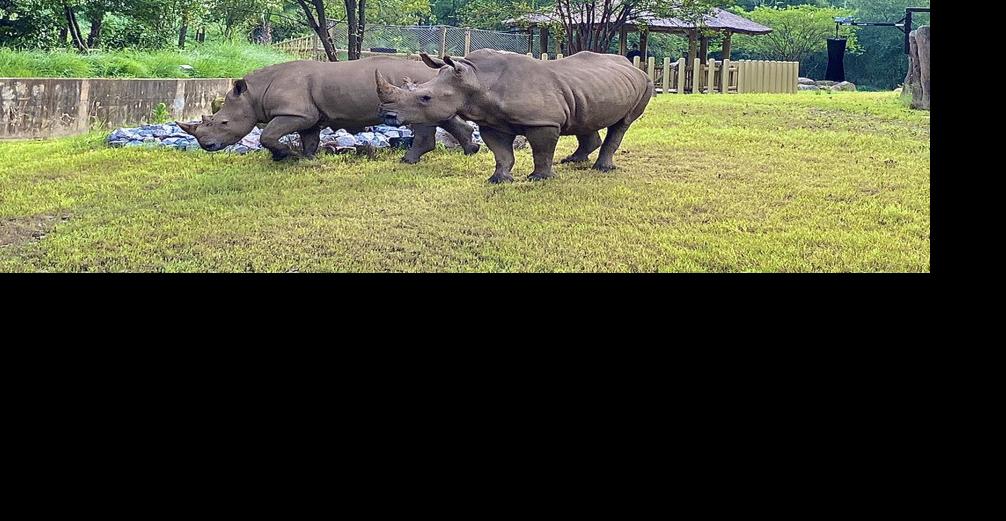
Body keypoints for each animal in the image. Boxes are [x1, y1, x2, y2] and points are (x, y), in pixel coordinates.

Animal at [177, 57, 480, 162]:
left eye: (223, 123)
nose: (206, 146)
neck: (254, 93)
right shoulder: (308, 115)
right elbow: (309, 137)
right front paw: (307, 158)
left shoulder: (295, 112)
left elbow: (267, 135)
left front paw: (284, 156)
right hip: (429, 92)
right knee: (443, 116)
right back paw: (471, 150)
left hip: (415, 92)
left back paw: (408, 161)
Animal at [375, 49, 653, 183]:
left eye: (425, 98)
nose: (388, 116)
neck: (476, 79)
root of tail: (633, 67)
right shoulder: (491, 122)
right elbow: (501, 152)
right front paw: (499, 180)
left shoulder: (542, 121)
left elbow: (541, 151)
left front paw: (539, 179)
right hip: (590, 86)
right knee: (583, 119)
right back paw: (573, 161)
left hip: (645, 84)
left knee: (622, 124)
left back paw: (602, 169)